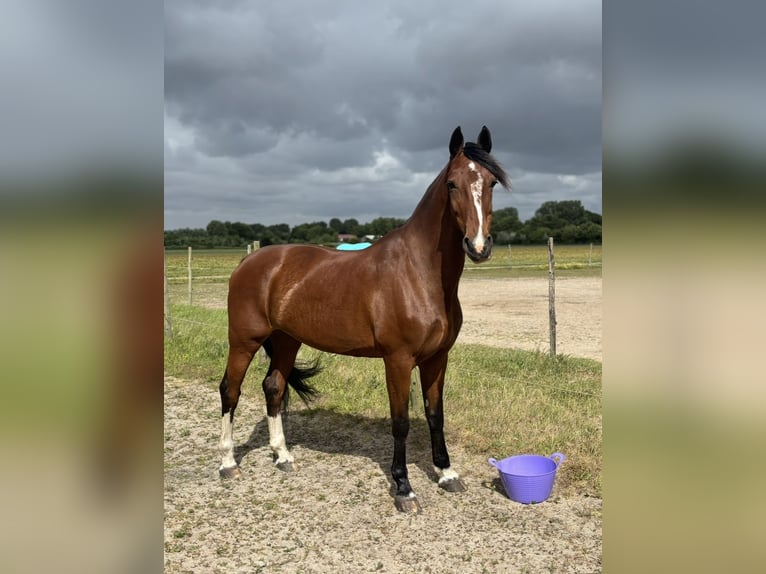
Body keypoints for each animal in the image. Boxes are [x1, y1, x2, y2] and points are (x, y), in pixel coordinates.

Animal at [218, 126, 509, 512]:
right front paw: (404, 489)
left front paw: (447, 474)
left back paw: (283, 457)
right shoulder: (398, 360)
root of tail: (249, 262)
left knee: (274, 387)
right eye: (452, 183)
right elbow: (400, 422)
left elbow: (435, 415)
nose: (478, 246)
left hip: (286, 340)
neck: (418, 273)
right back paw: (227, 464)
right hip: (244, 340)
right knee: (230, 390)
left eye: (491, 183)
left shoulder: (437, 359)